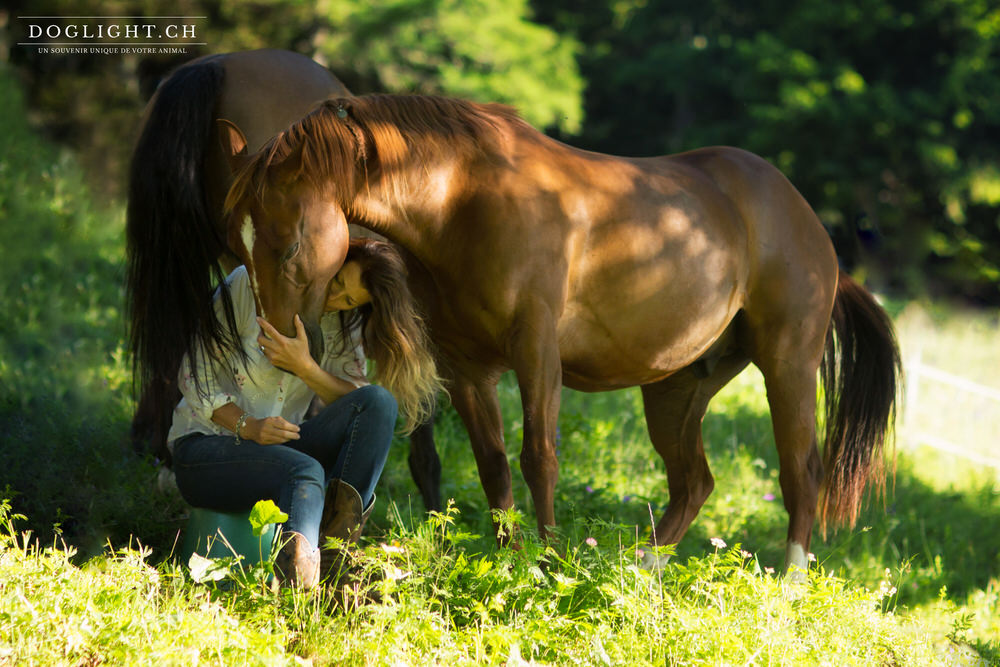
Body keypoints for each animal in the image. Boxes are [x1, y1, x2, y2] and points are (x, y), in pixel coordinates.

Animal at [219, 94, 900, 576]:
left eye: (289, 244)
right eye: (239, 244)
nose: (274, 345)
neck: (467, 199)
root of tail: (807, 219)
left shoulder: (537, 353)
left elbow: (538, 458)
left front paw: (546, 564)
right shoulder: (469, 370)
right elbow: (494, 466)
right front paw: (508, 559)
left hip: (788, 367)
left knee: (800, 475)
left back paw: (790, 587)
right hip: (676, 389)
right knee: (694, 482)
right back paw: (640, 568)